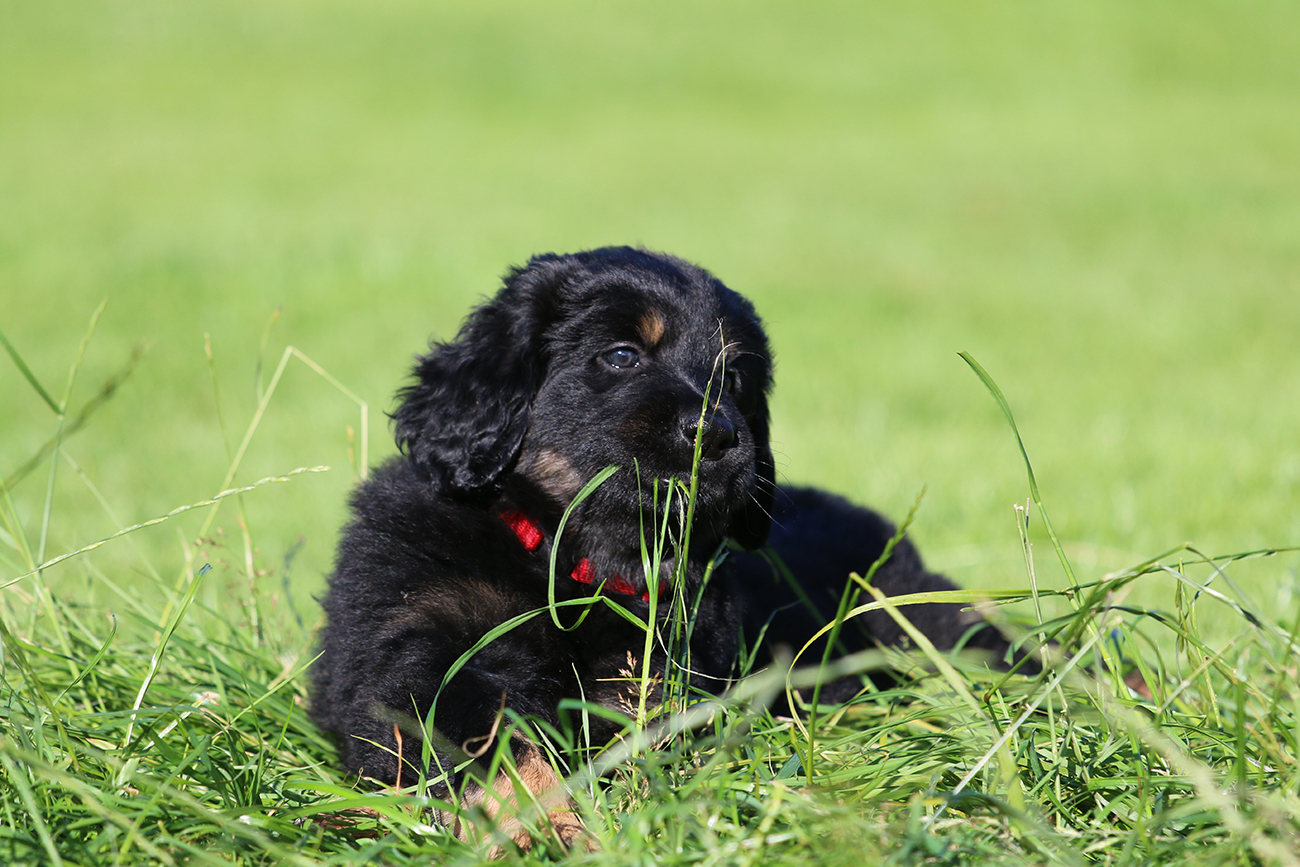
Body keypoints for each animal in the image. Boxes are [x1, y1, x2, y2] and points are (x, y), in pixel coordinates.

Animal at [311, 247, 1023, 850]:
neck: (569, 565)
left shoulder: (663, 673)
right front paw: (541, 829)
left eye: (736, 377)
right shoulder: (416, 657)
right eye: (623, 355)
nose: (719, 432)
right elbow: (497, 743)